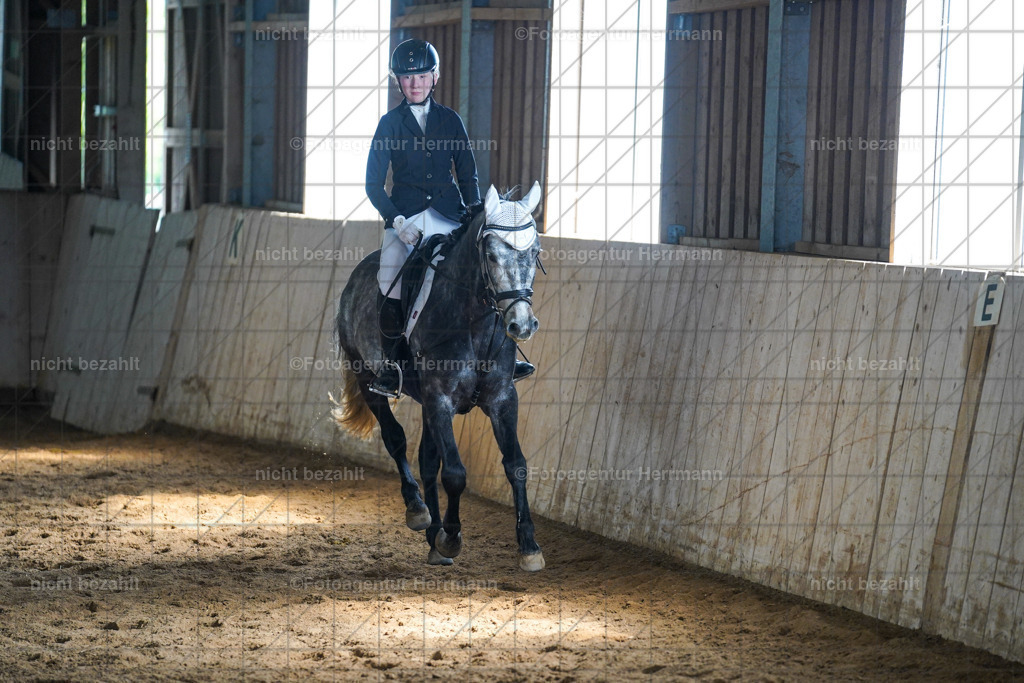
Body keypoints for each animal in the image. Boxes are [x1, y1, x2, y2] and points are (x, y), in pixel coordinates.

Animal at [332, 181, 546, 571]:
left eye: (535, 252)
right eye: (491, 255)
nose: (521, 325)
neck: (474, 322)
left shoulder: (502, 399)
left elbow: (516, 466)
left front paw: (529, 547)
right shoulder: (440, 400)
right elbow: (456, 473)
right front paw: (452, 537)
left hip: (425, 402)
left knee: (427, 460)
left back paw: (432, 535)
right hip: (367, 377)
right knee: (396, 439)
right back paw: (419, 512)